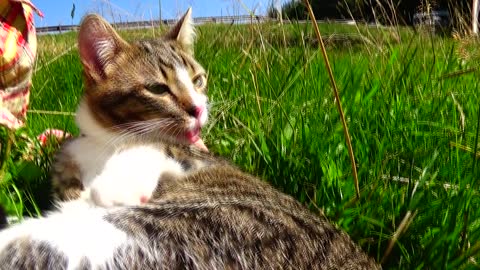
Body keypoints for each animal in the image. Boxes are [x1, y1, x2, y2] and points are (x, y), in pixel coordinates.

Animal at [0, 8, 380, 270]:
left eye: (197, 79)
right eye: (158, 89)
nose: (198, 108)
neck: (104, 140)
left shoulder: (187, 155)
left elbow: (150, 151)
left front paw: (111, 187)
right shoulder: (69, 162)